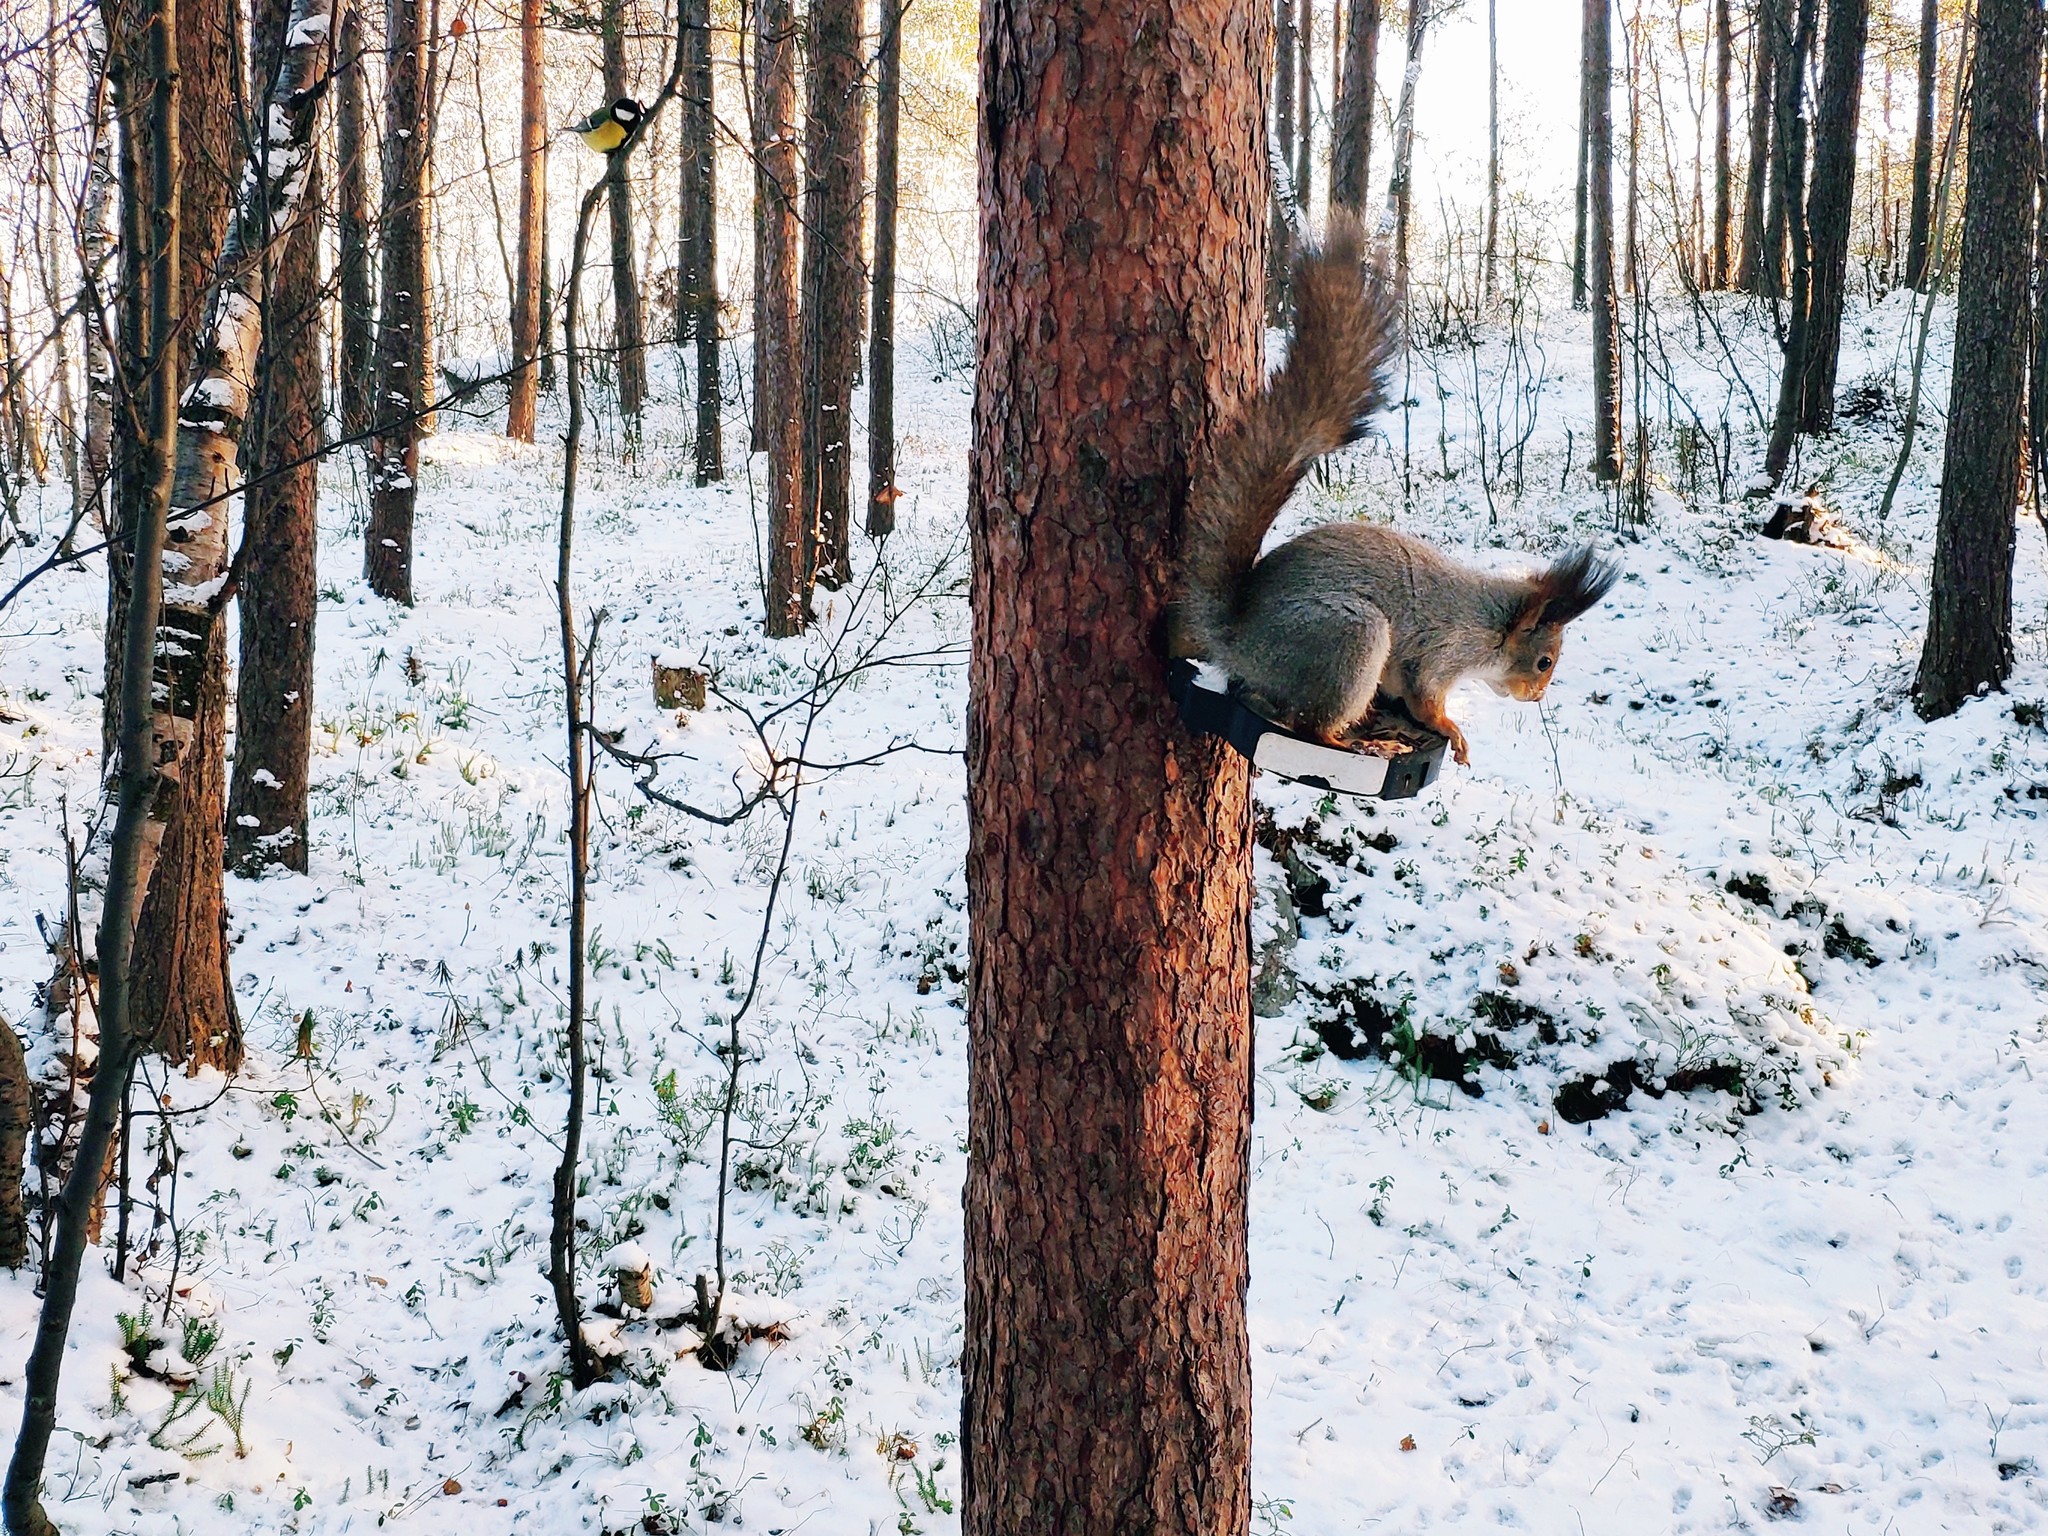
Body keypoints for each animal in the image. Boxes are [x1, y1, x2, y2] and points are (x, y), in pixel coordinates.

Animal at [1179, 217, 1622, 770]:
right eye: (1544, 660)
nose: (1535, 697)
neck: (1493, 624)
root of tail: (1240, 638)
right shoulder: (1441, 652)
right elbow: (1427, 699)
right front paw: (1453, 731)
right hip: (1348, 637)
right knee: (1311, 723)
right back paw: (1358, 742)